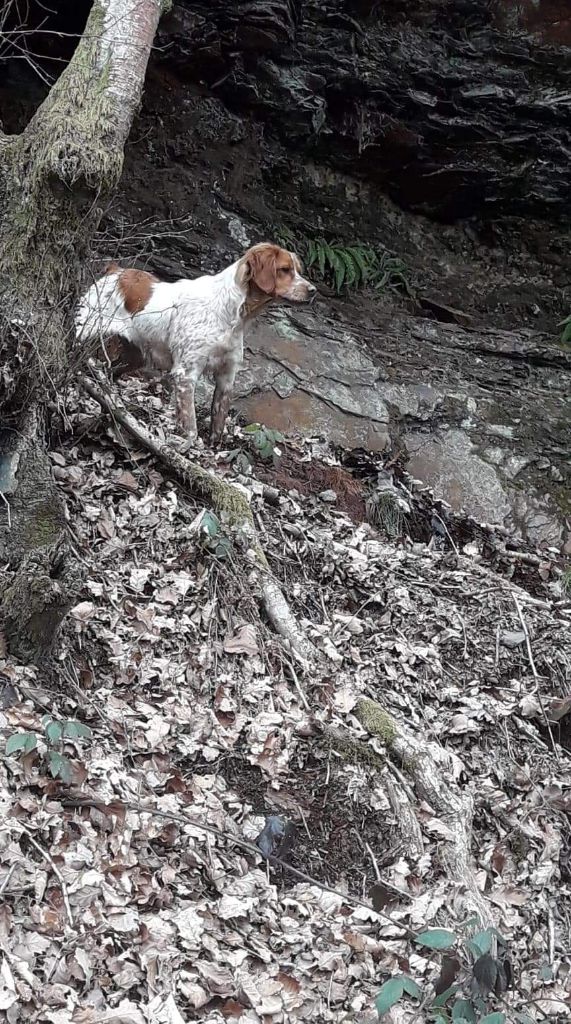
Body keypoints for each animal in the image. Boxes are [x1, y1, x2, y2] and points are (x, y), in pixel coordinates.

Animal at [75, 244, 317, 448]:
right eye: (284, 269)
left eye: (297, 270)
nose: (313, 290)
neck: (232, 314)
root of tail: (115, 271)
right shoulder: (186, 374)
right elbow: (191, 426)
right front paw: (189, 448)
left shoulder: (227, 377)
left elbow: (218, 423)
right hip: (82, 331)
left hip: (135, 356)